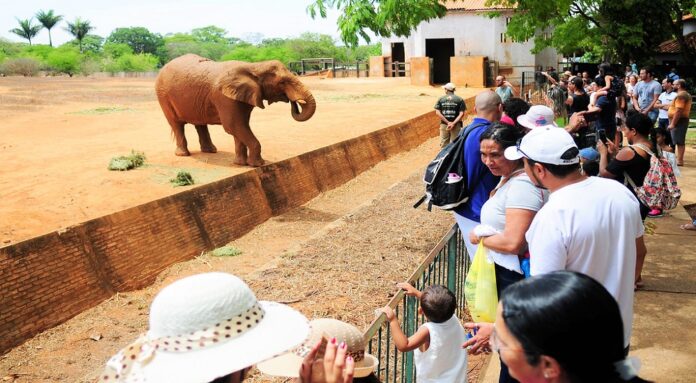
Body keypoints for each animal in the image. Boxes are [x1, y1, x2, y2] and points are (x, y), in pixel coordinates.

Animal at [154, 53, 316, 166]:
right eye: (282, 82)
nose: (294, 102)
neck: (254, 67)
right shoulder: (225, 98)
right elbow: (234, 126)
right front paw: (258, 165)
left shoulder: (241, 97)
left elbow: (240, 127)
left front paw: (240, 164)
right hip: (163, 95)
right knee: (176, 124)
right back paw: (184, 154)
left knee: (200, 123)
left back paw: (211, 151)